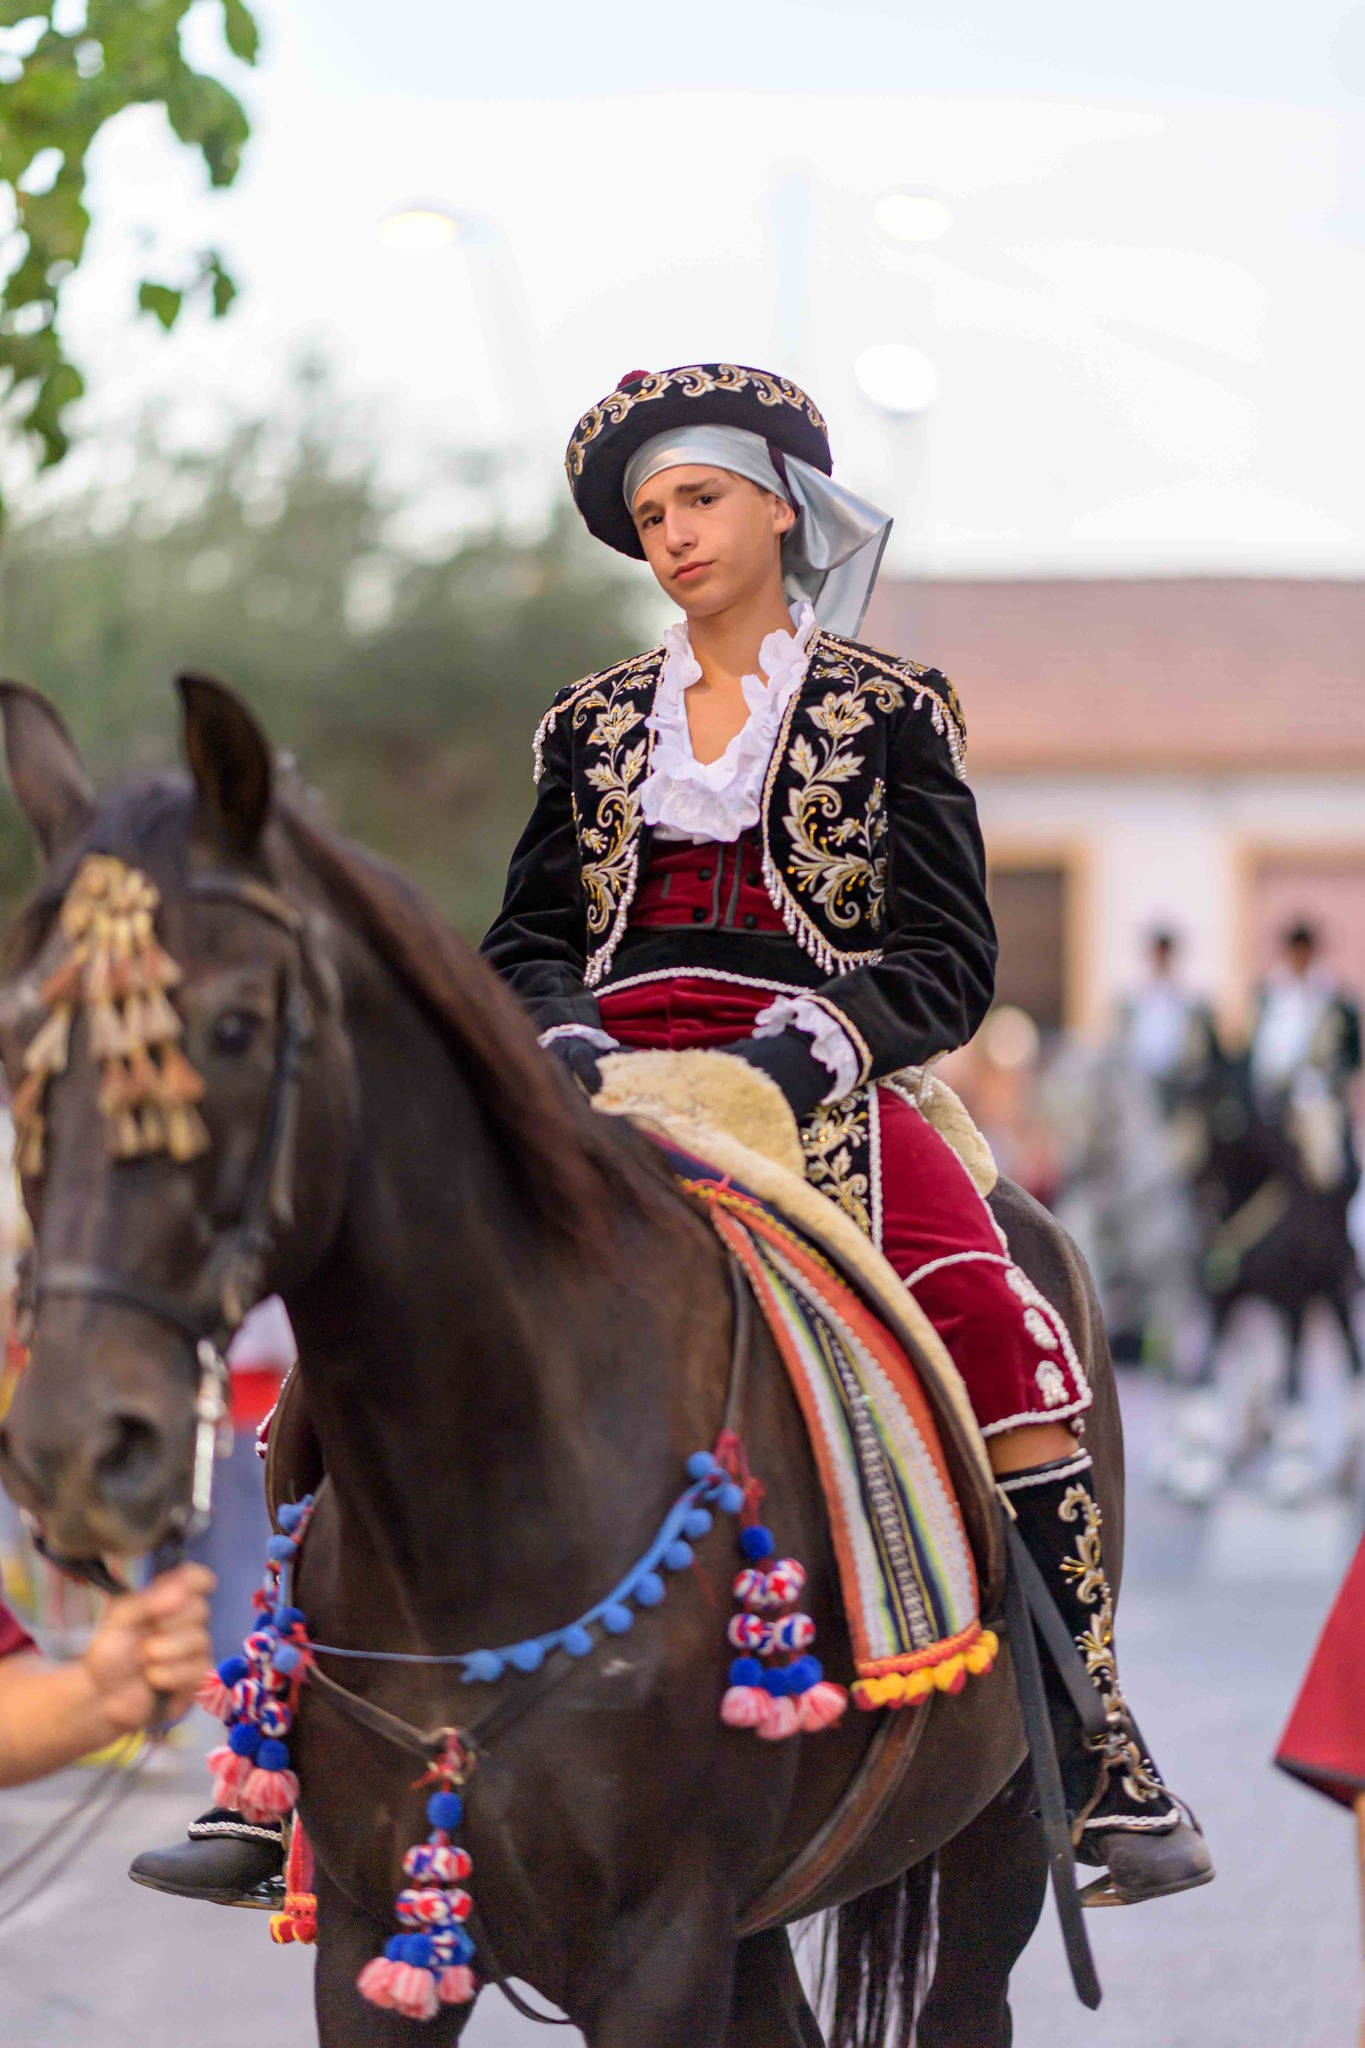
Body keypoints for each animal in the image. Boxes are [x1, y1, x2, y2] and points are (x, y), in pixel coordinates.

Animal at [0, 674, 1125, 2048]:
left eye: (231, 1025)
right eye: (19, 1038)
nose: (72, 1446)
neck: (497, 1487)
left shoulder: (658, 1943)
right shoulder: (376, 1931)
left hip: (994, 1841)